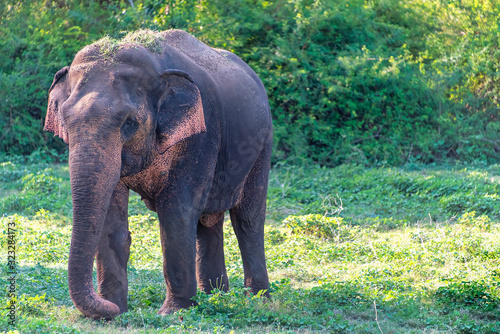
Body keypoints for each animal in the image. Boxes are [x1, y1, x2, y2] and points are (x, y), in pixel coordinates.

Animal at [46, 30, 274, 320]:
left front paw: (172, 313)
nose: (108, 309)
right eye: (65, 121)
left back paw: (257, 300)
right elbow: (111, 217)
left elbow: (176, 211)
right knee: (208, 222)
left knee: (247, 219)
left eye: (130, 123)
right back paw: (216, 298)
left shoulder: (200, 134)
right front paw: (114, 309)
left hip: (263, 144)